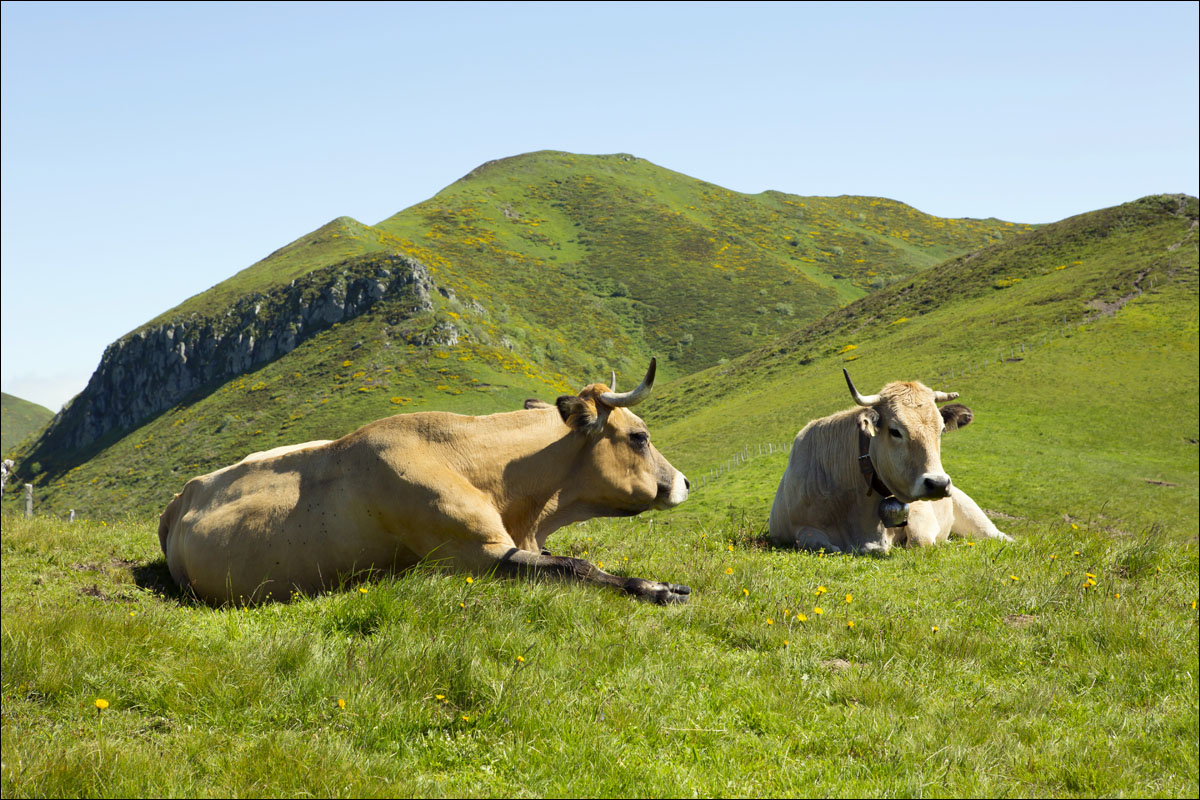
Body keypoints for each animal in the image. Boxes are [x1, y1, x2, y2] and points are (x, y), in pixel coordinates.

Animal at [157, 359, 696, 604]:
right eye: (640, 437)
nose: (685, 482)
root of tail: (184, 493)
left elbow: (572, 559)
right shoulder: (476, 553)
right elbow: (576, 566)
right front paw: (659, 588)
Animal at [768, 371, 1012, 554]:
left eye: (942, 429)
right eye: (895, 431)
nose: (938, 484)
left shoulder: (920, 511)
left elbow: (921, 541)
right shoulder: (797, 528)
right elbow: (818, 543)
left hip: (970, 512)